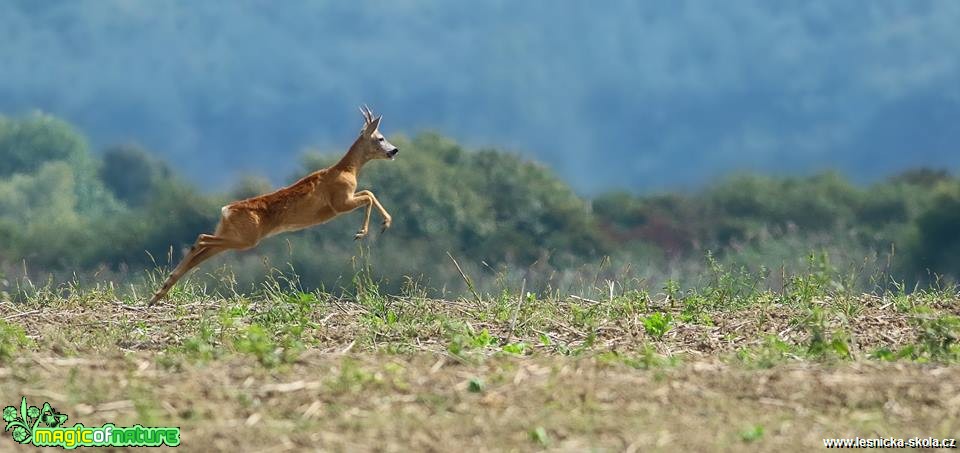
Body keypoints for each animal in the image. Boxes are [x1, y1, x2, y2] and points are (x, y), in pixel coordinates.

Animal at [150, 105, 398, 304]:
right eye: (380, 137)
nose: (395, 150)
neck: (347, 169)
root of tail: (226, 210)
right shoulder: (340, 202)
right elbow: (369, 195)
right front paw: (367, 230)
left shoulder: (345, 199)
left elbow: (368, 193)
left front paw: (381, 225)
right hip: (246, 238)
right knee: (201, 239)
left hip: (232, 235)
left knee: (200, 250)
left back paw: (158, 294)